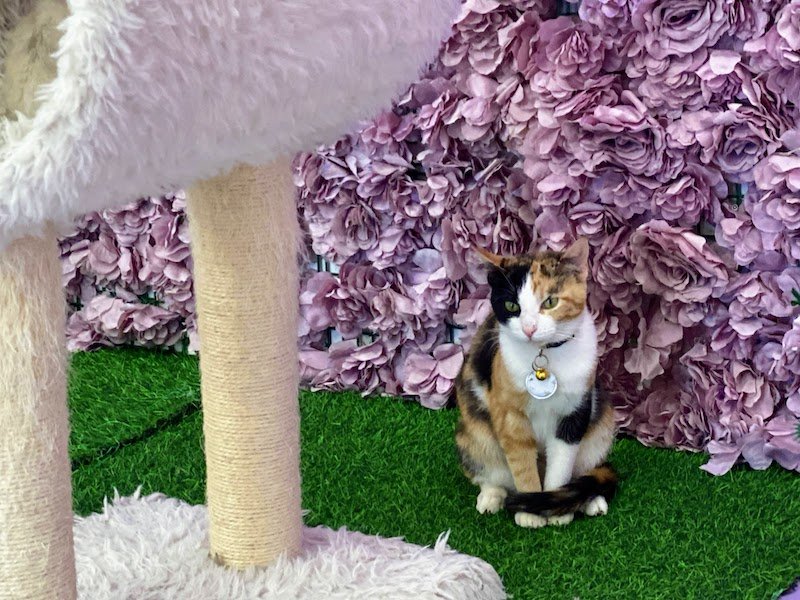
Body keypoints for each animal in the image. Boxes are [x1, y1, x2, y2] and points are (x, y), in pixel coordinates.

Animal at [454, 239, 616, 528]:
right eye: (511, 306)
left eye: (550, 301)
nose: (529, 328)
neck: (546, 355)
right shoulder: (509, 415)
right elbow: (521, 461)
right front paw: (530, 514)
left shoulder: (575, 411)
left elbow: (562, 463)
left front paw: (555, 510)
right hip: (473, 429)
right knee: (488, 469)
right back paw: (492, 496)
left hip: (603, 422)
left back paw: (590, 500)